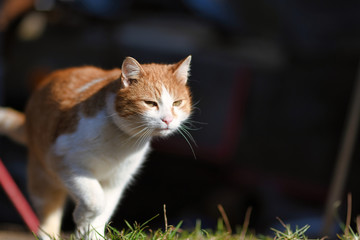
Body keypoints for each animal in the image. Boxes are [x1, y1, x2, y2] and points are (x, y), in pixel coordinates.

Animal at [0, 55, 194, 239]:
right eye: (150, 103)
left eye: (177, 103)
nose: (168, 120)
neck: (120, 141)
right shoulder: (67, 163)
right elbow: (95, 201)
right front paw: (81, 218)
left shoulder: (116, 181)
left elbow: (103, 213)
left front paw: (91, 233)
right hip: (43, 177)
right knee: (49, 216)